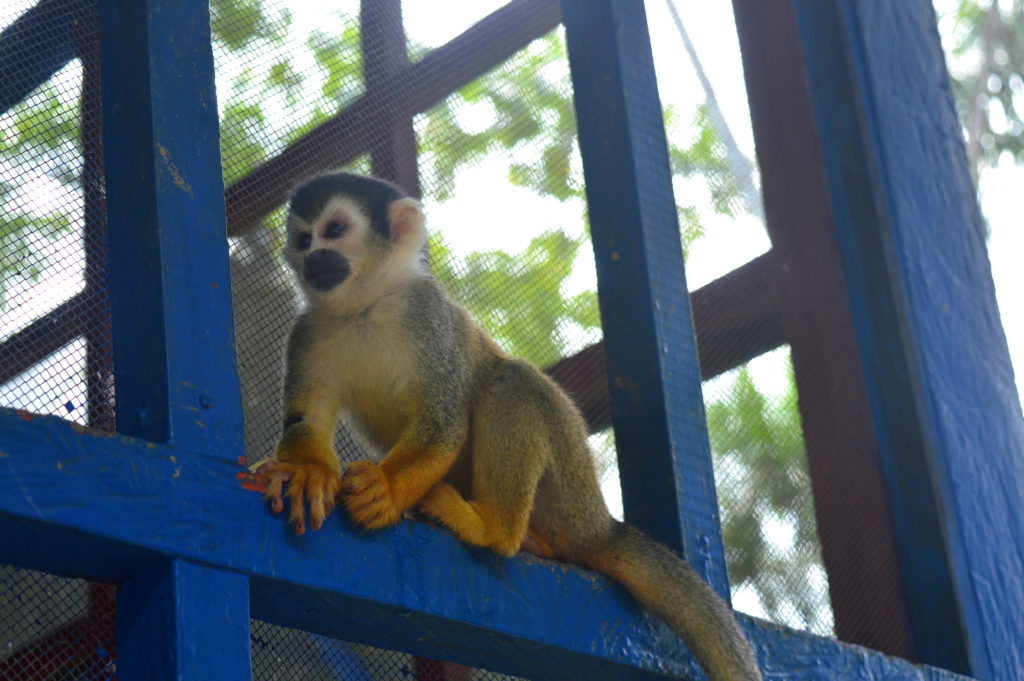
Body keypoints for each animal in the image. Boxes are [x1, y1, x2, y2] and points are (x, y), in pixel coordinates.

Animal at [258, 171, 761, 679]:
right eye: (303, 240)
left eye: (335, 230)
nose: (314, 258)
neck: (364, 306)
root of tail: (601, 525)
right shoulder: (309, 330)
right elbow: (307, 417)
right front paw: (307, 474)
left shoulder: (427, 315)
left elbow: (443, 420)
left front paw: (384, 489)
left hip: (567, 491)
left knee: (511, 385)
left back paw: (491, 529)